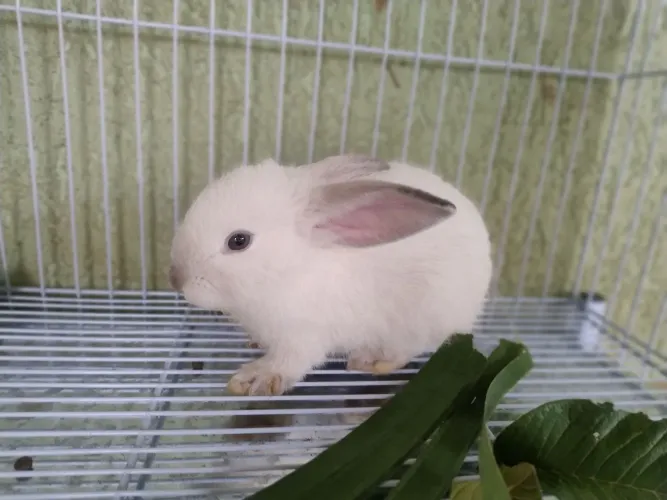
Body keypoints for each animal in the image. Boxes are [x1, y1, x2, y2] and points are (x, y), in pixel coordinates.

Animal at [169, 154, 492, 397]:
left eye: (239, 241)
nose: (175, 278)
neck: (288, 271)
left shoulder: (303, 336)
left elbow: (289, 363)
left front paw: (253, 379)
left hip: (418, 320)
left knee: (406, 349)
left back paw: (370, 360)